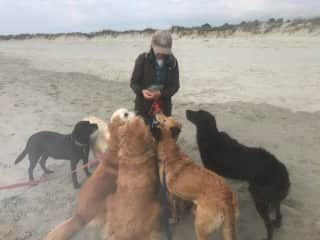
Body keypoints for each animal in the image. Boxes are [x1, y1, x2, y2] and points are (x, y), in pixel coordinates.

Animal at [185, 110, 290, 240]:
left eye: (197, 114)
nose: (187, 111)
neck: (211, 136)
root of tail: (282, 174)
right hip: (270, 198)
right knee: (278, 211)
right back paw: (277, 222)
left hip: (258, 197)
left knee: (269, 225)